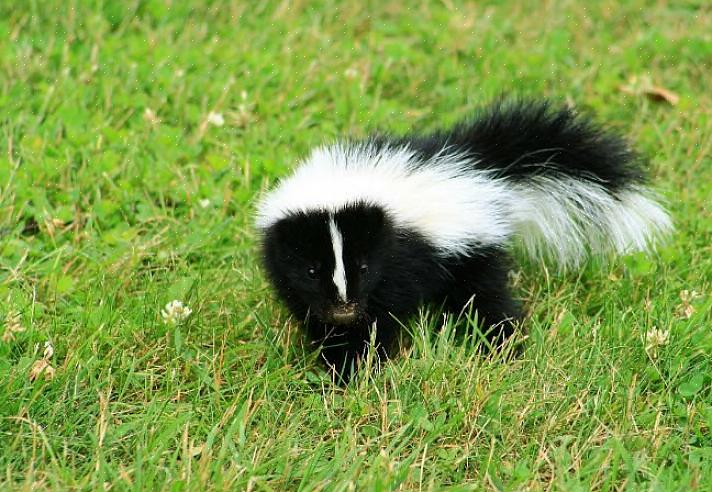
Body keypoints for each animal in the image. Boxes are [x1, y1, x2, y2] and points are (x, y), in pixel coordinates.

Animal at [256, 99, 672, 376]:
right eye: (311, 270)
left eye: (363, 266)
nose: (344, 309)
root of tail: (483, 166)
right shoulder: (289, 276)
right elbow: (312, 311)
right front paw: (333, 355)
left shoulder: (399, 260)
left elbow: (379, 318)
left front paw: (354, 367)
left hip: (471, 253)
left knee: (486, 301)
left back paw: (503, 345)